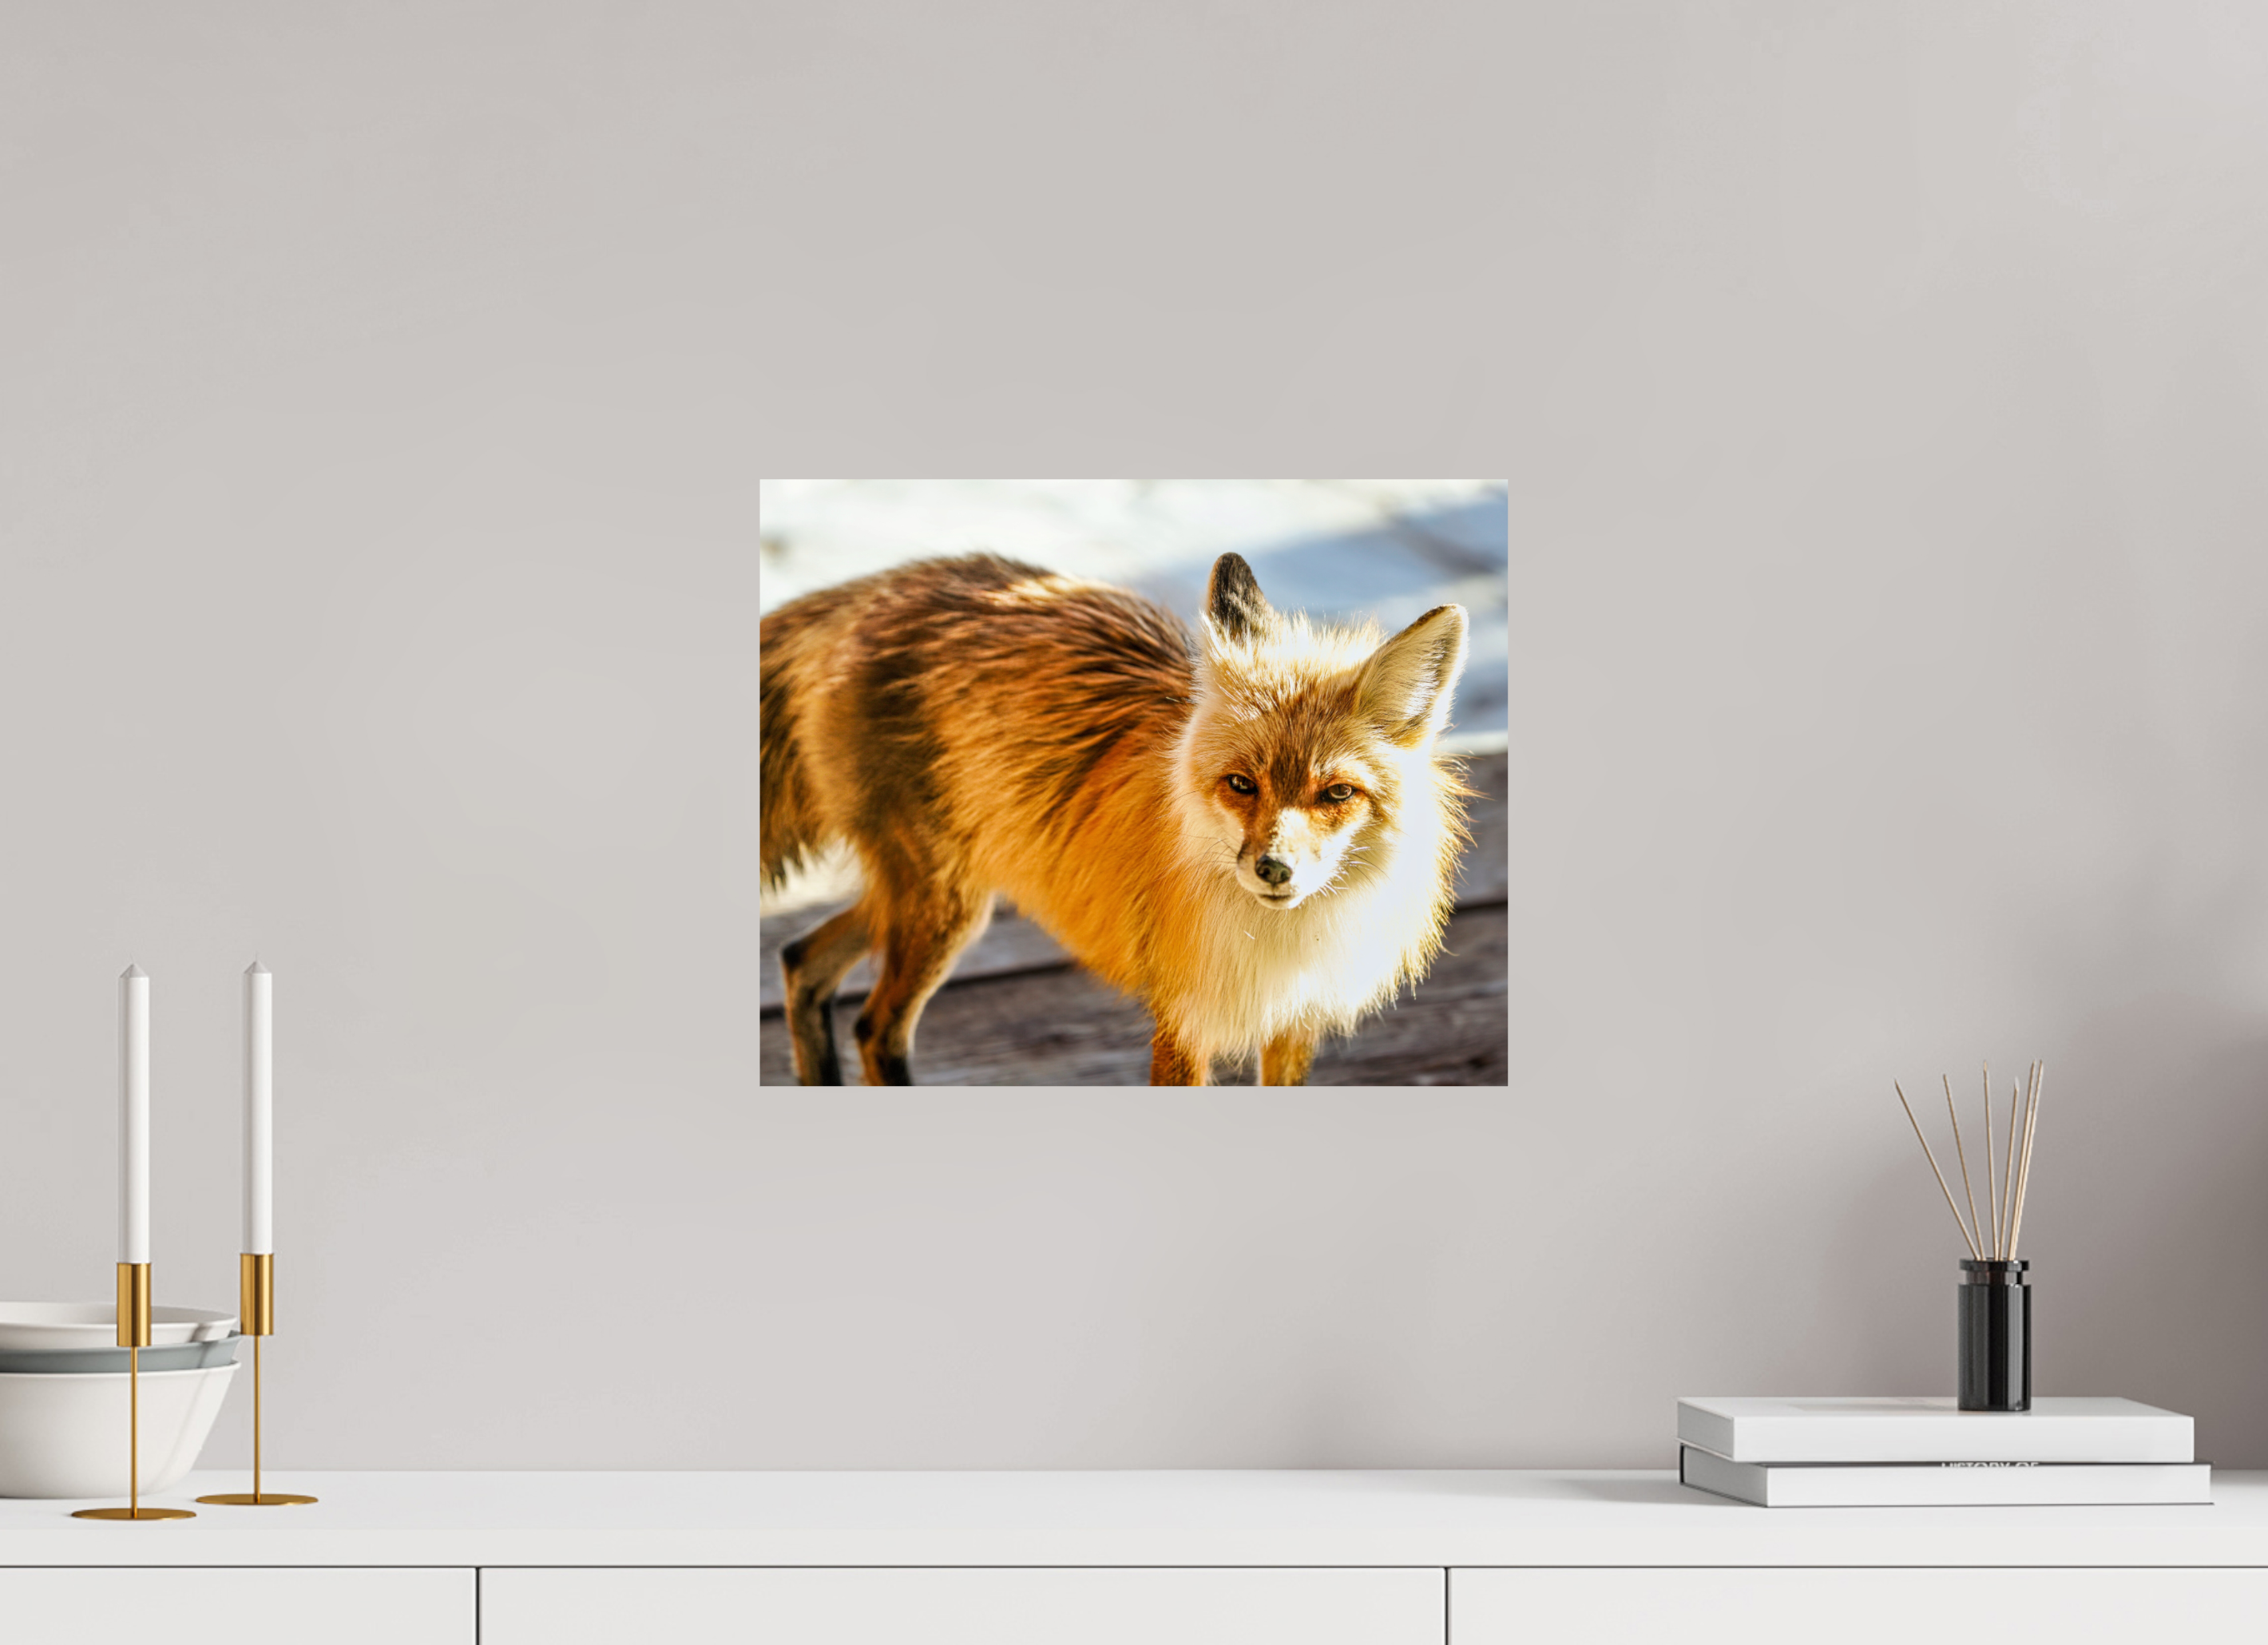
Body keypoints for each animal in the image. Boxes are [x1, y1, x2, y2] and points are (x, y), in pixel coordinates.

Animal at [759, 550, 1471, 1086]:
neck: (1281, 944)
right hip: (943, 905)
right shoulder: (1183, 1021)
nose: (1273, 869)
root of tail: (882, 585)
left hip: (932, 895)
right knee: (874, 1028)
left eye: (1337, 793)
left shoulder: (1293, 1025)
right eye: (1241, 785)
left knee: (801, 960)